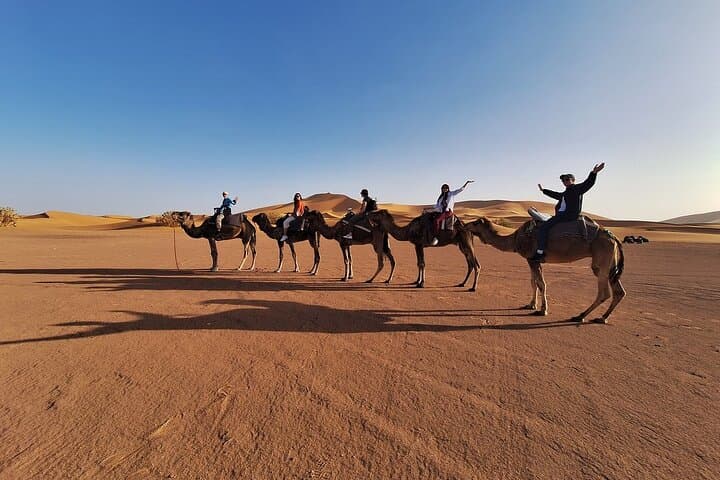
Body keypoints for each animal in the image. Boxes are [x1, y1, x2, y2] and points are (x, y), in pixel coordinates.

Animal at [466, 216, 625, 323]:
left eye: (475, 222)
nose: (464, 225)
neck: (516, 239)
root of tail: (614, 237)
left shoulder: (532, 259)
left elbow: (541, 284)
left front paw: (543, 310)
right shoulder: (533, 260)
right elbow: (533, 283)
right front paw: (531, 305)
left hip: (601, 260)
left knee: (604, 292)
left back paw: (580, 316)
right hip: (611, 264)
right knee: (619, 291)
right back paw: (602, 317)